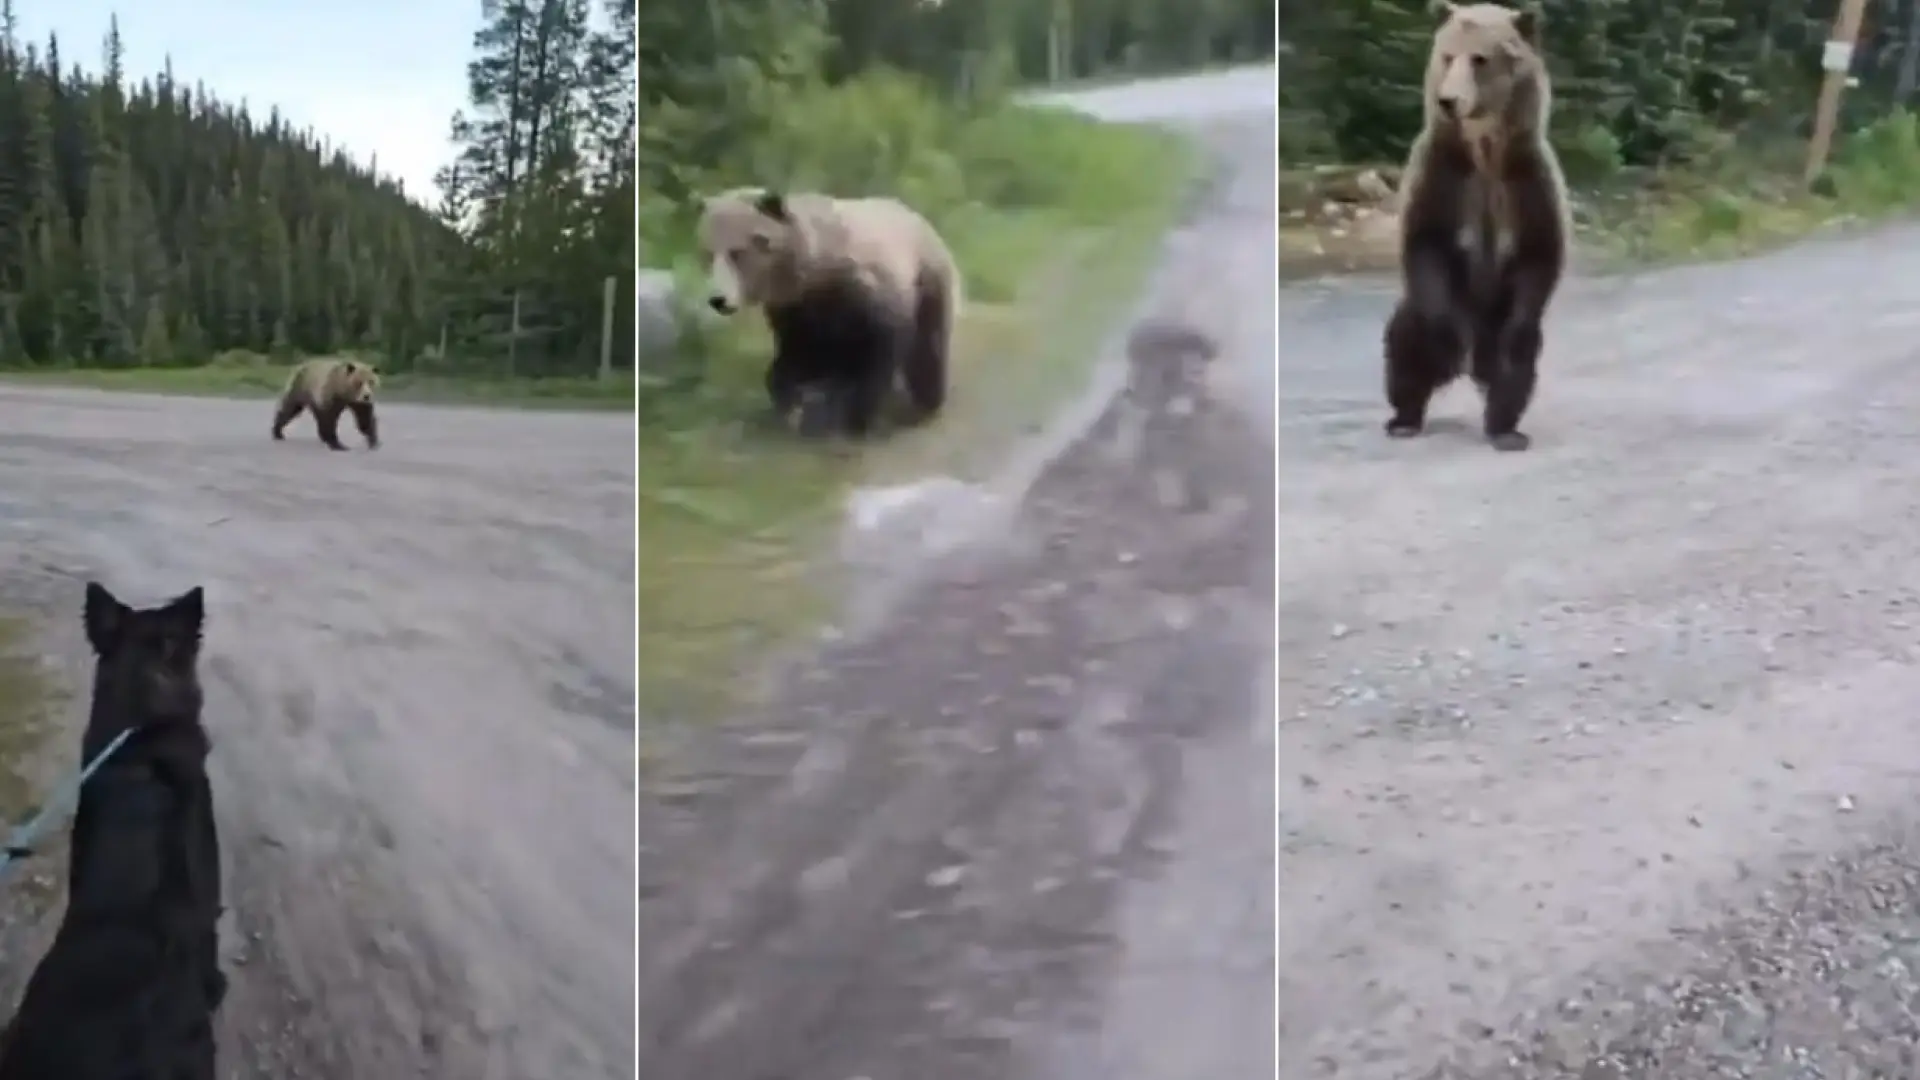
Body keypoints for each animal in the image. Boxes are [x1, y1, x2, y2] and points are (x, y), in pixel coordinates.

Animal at [697, 187, 962, 438]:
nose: (718, 300)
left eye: (737, 253)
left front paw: (857, 415)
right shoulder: (797, 310)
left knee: (929, 348)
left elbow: (879, 350)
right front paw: (789, 398)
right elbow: (796, 352)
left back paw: (927, 399)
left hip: (929, 279)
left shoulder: (865, 289)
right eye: (708, 254)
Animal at [1382, 1, 1570, 452]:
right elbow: (1425, 242)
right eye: (1448, 55)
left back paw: (1506, 429)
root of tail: (1476, 365)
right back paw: (1404, 418)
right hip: (1420, 314)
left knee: (1517, 367)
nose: (1448, 100)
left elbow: (1540, 254)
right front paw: (1448, 340)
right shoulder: (1442, 173)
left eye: (1480, 58)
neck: (1484, 150)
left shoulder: (1527, 181)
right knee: (1405, 346)